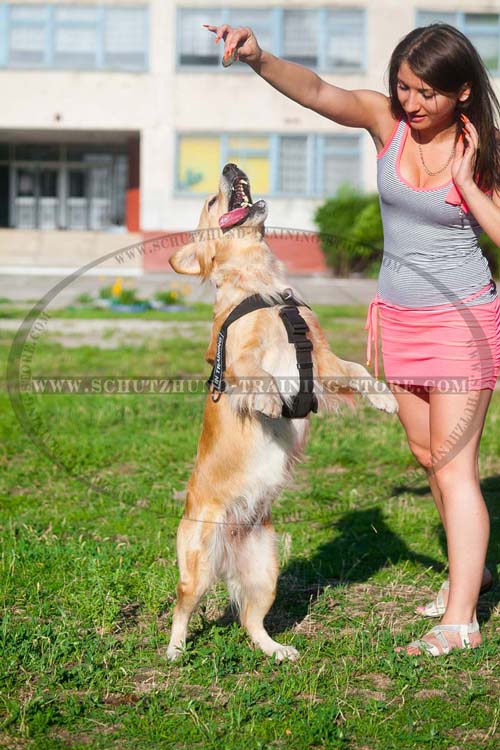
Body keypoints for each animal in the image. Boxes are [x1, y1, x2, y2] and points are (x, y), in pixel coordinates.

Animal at [168, 164, 398, 664]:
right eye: (212, 203)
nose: (232, 165)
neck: (261, 285)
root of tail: (231, 544)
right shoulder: (235, 359)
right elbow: (258, 377)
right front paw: (271, 401)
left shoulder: (322, 359)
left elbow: (358, 369)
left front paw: (385, 397)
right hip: (198, 560)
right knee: (183, 604)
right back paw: (174, 651)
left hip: (265, 570)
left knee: (250, 621)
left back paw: (276, 650)